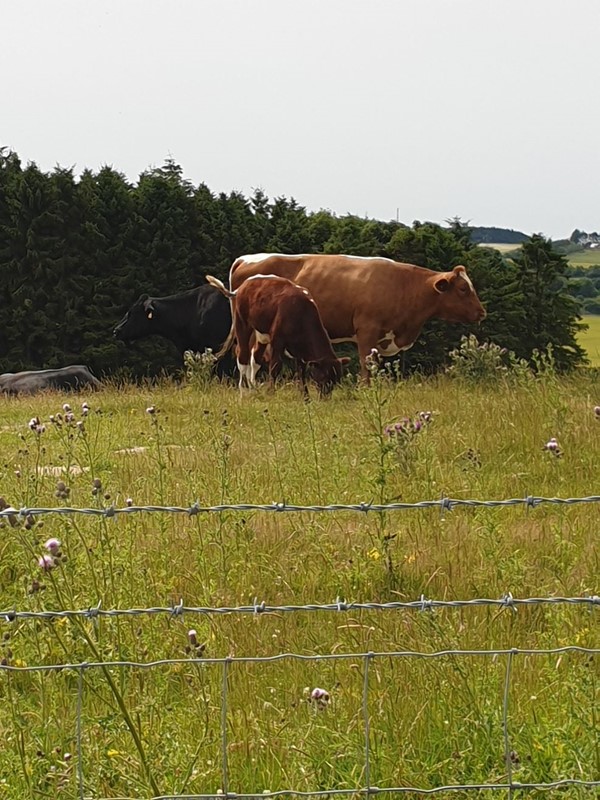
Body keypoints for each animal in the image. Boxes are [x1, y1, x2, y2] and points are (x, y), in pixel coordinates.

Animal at [205, 274, 346, 396]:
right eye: (324, 376)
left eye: (335, 380)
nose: (325, 397)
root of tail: (242, 286)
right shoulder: (277, 341)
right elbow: (275, 368)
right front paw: (271, 393)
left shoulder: (300, 350)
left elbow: (301, 373)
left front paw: (306, 398)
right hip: (242, 324)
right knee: (243, 355)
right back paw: (243, 392)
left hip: (261, 334)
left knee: (255, 356)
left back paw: (253, 388)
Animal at [227, 256, 486, 382]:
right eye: (463, 289)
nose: (482, 312)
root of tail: (245, 258)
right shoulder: (367, 331)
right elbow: (366, 365)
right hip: (246, 327)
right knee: (244, 357)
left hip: (261, 333)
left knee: (255, 359)